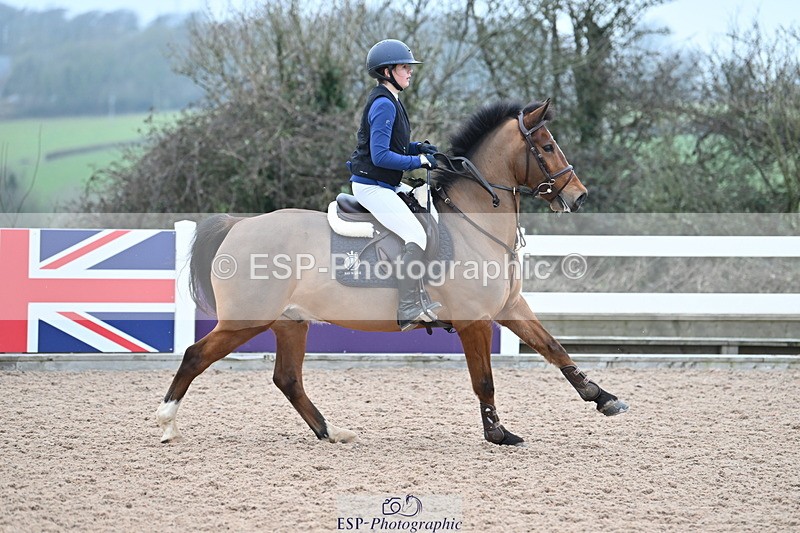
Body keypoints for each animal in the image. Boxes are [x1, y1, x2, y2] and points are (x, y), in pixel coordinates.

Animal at [156, 98, 629, 446]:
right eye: (547, 147)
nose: (579, 196)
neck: (474, 221)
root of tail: (240, 225)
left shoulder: (510, 307)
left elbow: (554, 348)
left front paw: (603, 398)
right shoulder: (475, 320)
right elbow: (484, 381)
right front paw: (498, 433)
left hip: (291, 322)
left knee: (287, 378)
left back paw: (333, 432)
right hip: (246, 320)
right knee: (196, 355)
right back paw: (166, 423)